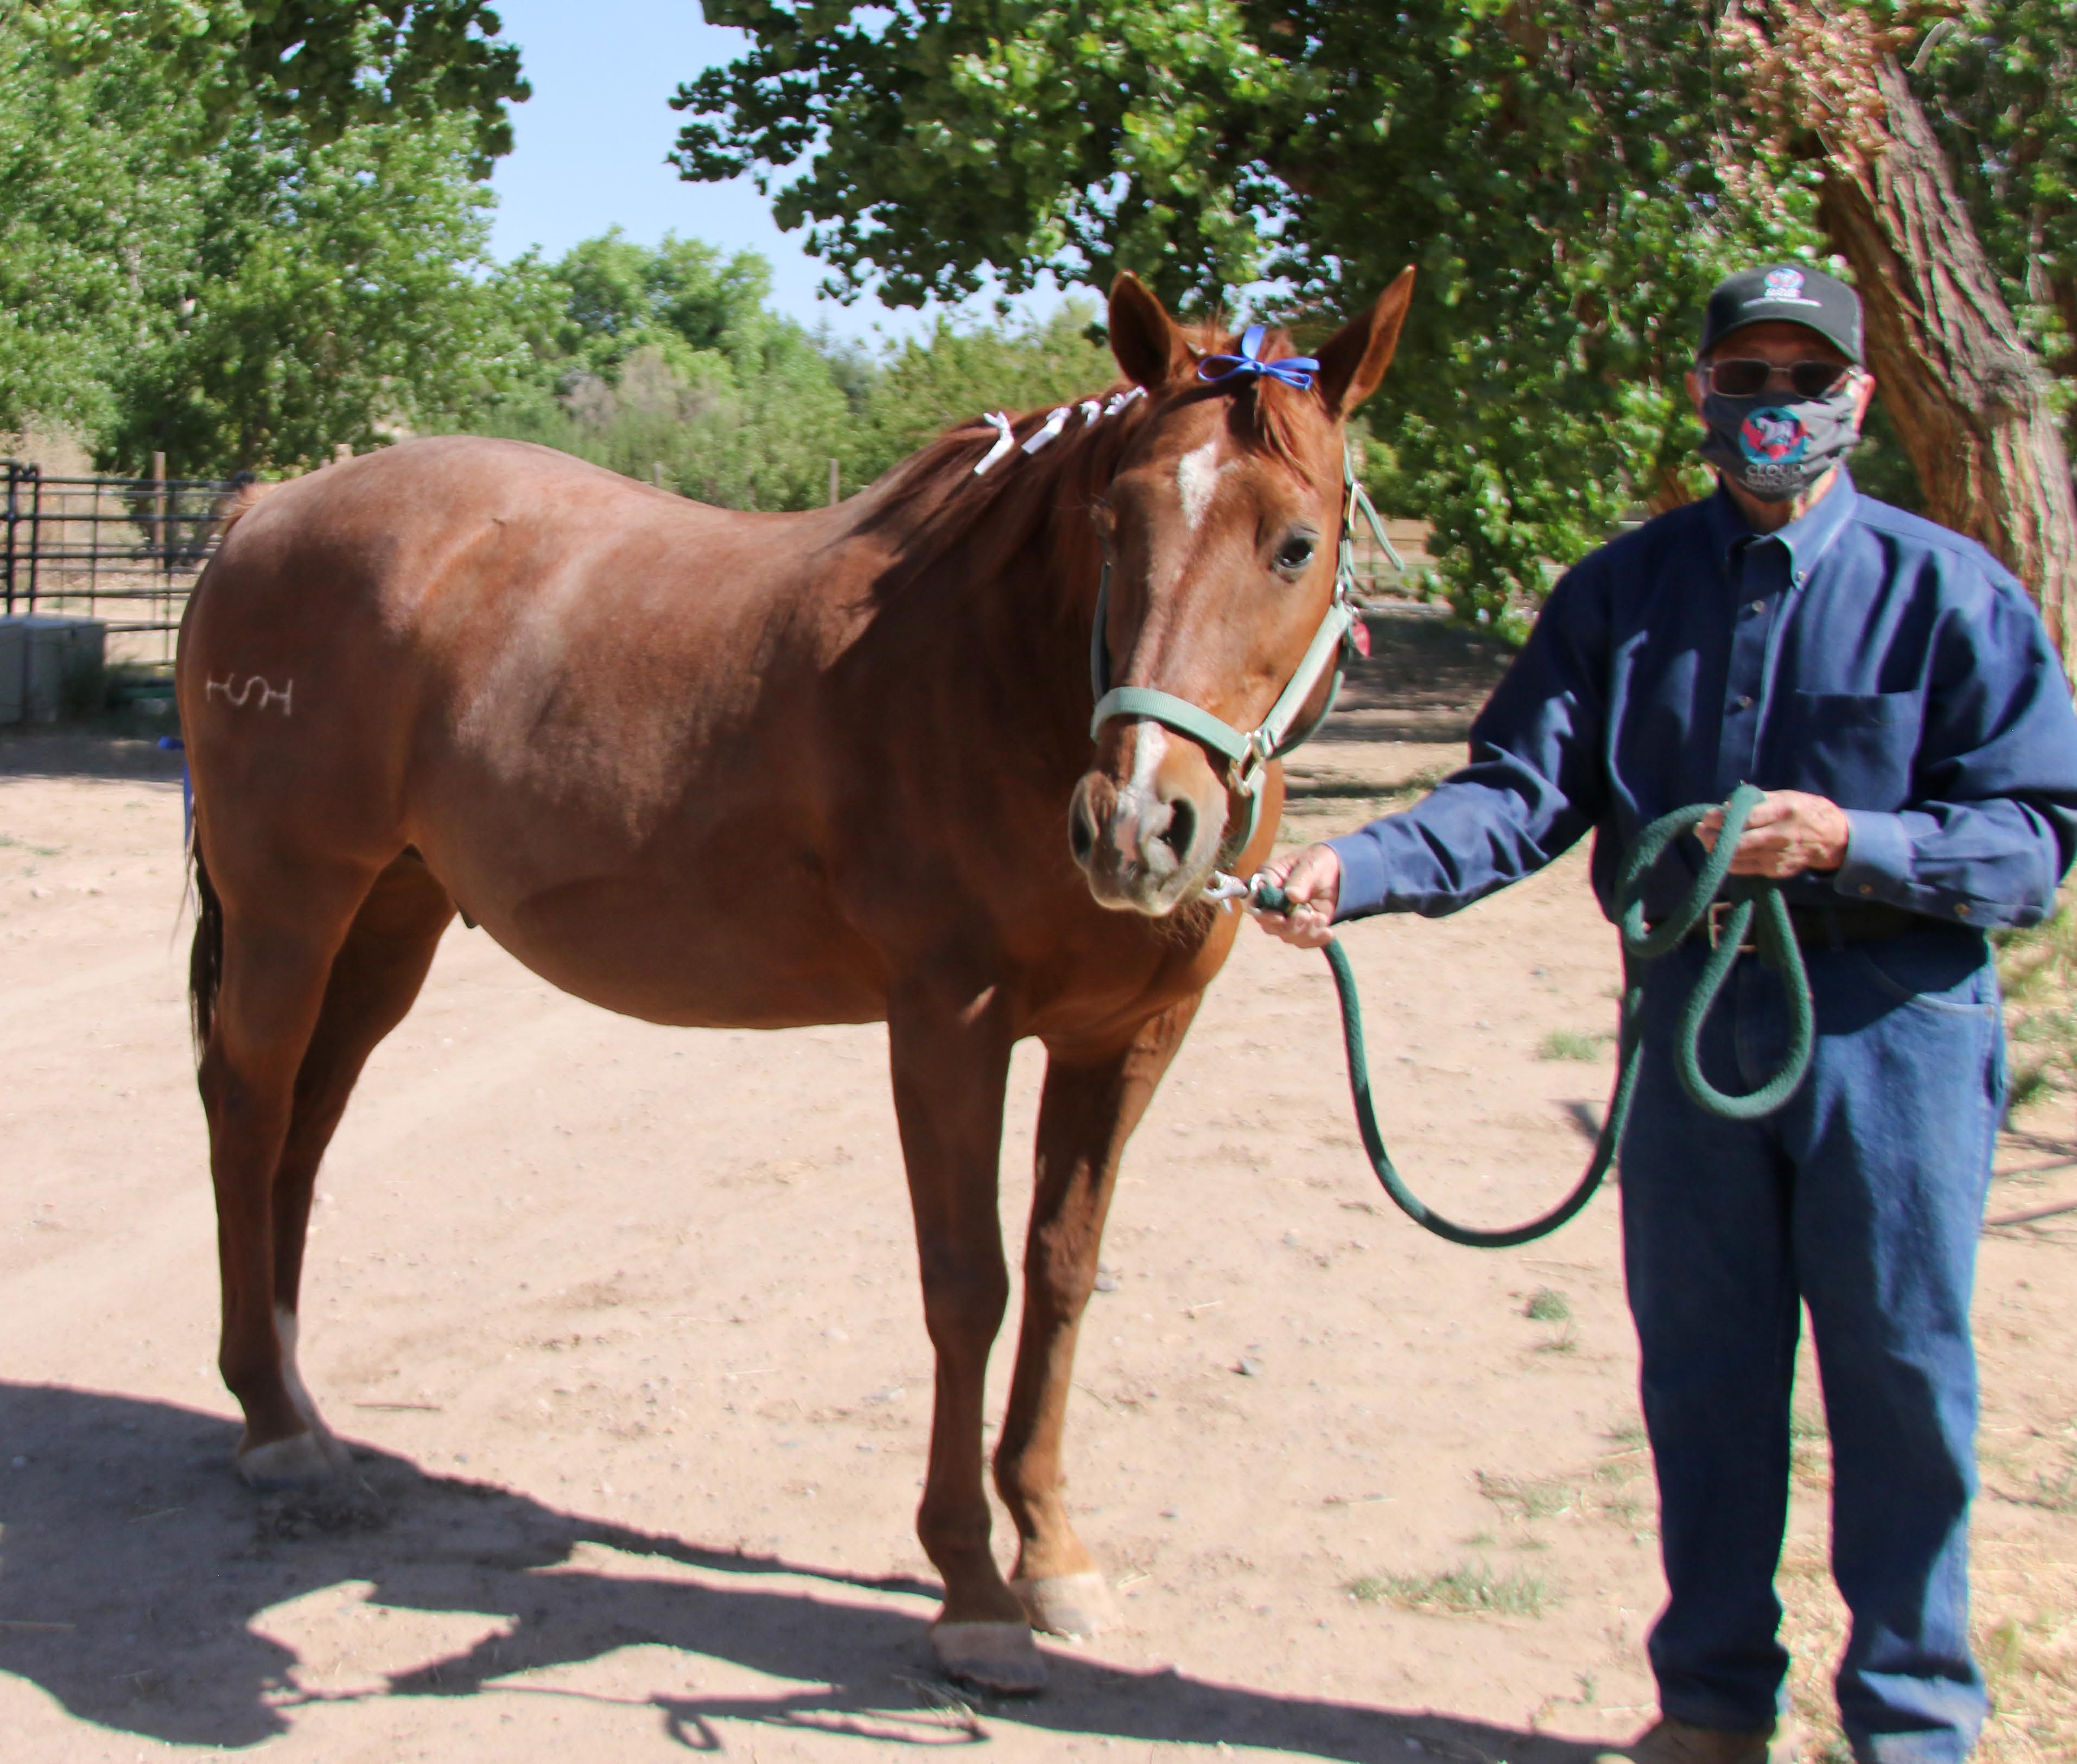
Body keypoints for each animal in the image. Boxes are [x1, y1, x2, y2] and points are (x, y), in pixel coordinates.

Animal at [179, 268, 1412, 1687]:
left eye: (1294, 543)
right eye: (1117, 523)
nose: (1135, 824)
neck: (1001, 673)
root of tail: (270, 508)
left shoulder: (1128, 1038)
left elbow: (1060, 1274)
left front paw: (1052, 1553)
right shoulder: (945, 1025)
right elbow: (966, 1287)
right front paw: (973, 1592)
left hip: (390, 917)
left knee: (306, 1126)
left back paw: (297, 1400)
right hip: (291, 907)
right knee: (248, 1109)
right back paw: (274, 1427)